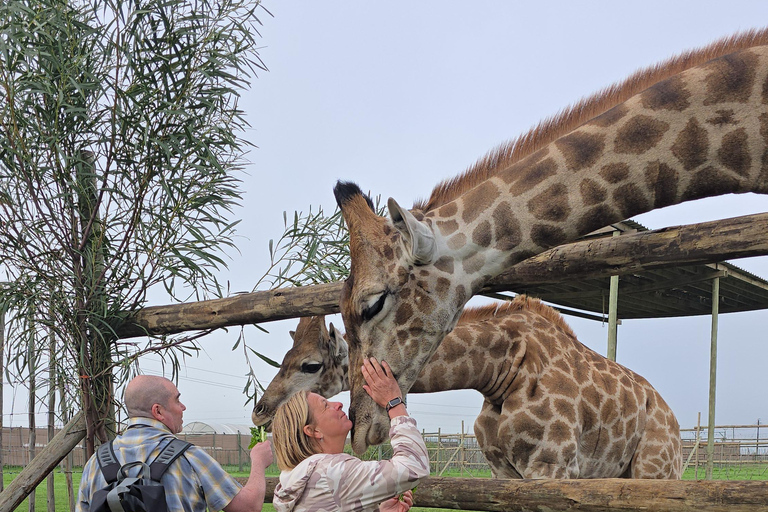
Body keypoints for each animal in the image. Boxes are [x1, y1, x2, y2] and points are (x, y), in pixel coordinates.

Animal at [253, 296, 682, 479]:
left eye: (310, 365)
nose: (260, 410)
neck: (500, 372)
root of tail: (672, 419)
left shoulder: (553, 466)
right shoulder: (504, 470)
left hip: (655, 470)